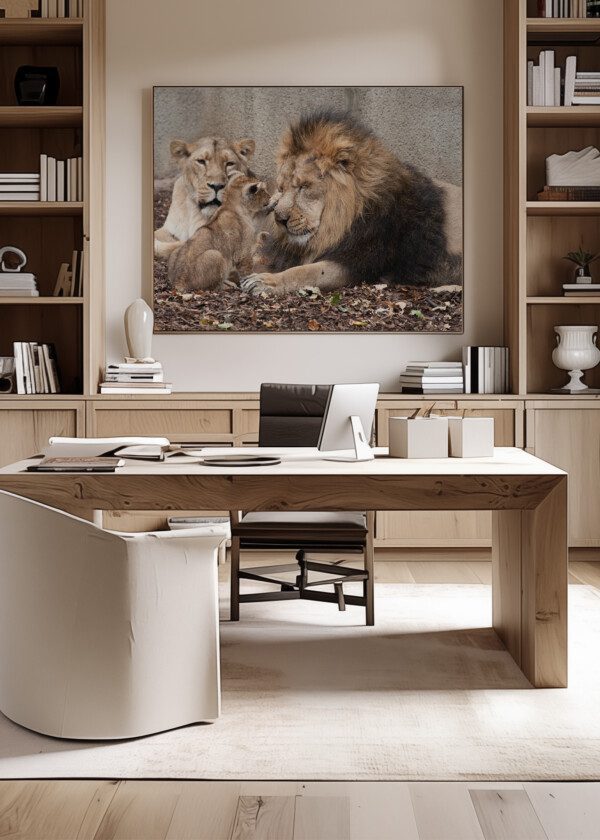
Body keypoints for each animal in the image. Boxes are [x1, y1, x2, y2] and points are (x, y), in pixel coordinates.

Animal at [241, 112, 461, 296]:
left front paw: (265, 282)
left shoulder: (359, 262)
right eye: (281, 188)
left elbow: (305, 272)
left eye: (304, 186)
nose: (280, 219)